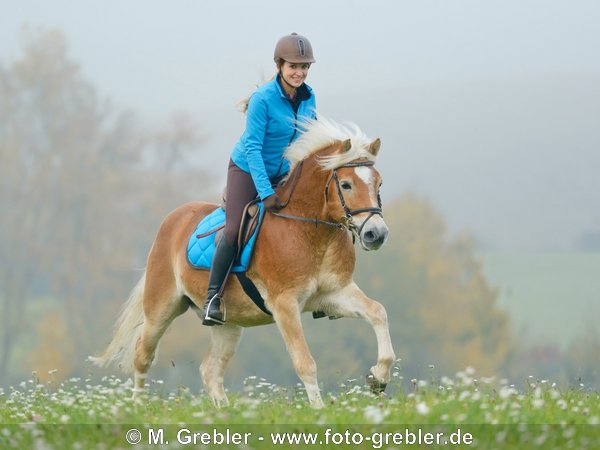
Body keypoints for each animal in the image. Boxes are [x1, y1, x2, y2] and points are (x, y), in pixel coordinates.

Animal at [91, 116, 396, 408]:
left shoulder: (335, 294)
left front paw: (378, 378)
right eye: (346, 184)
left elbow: (378, 312)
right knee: (143, 354)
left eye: (379, 183)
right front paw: (320, 411)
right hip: (161, 307)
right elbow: (304, 362)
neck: (309, 231)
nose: (376, 234)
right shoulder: (284, 304)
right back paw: (138, 407)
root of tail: (173, 219)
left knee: (210, 370)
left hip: (227, 323)